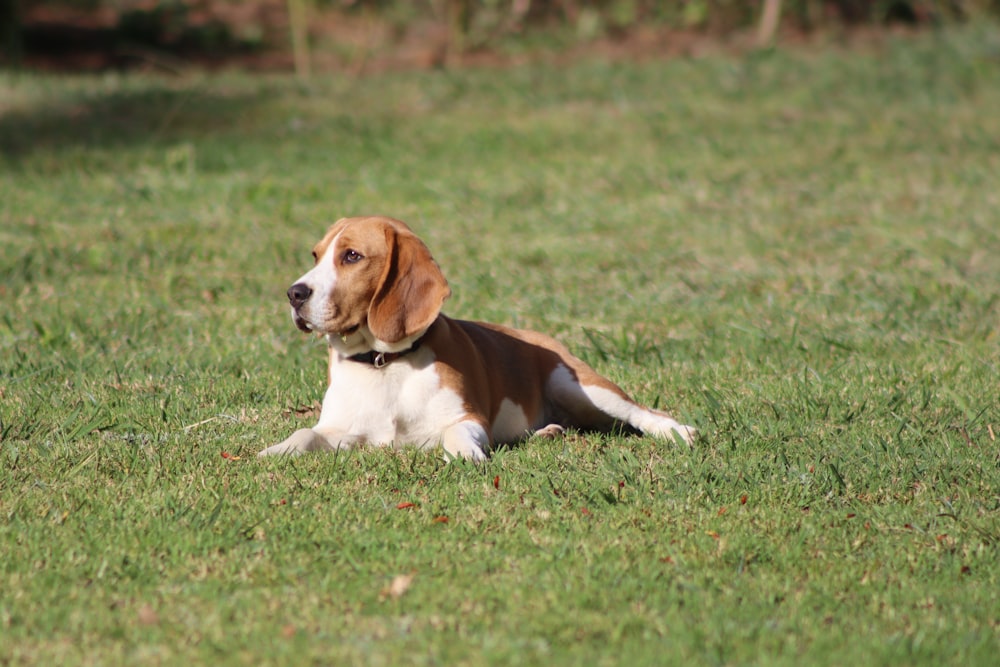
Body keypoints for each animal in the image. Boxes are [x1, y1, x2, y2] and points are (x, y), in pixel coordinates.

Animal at [258, 217, 696, 462]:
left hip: (579, 385)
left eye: (351, 256)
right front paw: (274, 451)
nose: (294, 294)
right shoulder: (341, 430)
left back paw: (677, 432)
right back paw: (547, 432)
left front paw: (466, 454)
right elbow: (305, 434)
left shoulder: (467, 417)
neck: (385, 365)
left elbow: (457, 432)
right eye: (316, 255)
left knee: (641, 413)